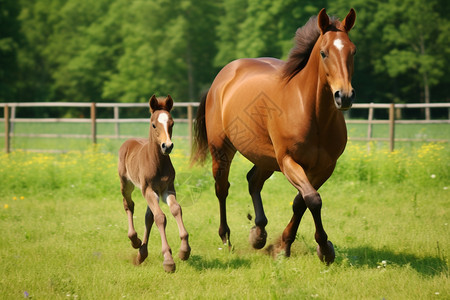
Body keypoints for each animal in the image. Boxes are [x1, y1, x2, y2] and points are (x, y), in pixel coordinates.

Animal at [118, 95, 190, 272]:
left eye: (172, 123)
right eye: (154, 124)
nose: (167, 146)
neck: (157, 162)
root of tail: (128, 141)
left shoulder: (167, 190)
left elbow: (176, 210)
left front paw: (184, 251)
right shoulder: (148, 190)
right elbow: (160, 217)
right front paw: (168, 260)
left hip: (154, 194)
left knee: (147, 217)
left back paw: (141, 253)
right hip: (127, 184)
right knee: (128, 204)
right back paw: (135, 240)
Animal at [192, 8, 356, 264]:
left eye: (352, 51)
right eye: (324, 53)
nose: (344, 96)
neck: (312, 114)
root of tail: (222, 77)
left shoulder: (325, 167)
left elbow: (302, 202)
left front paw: (285, 245)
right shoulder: (289, 161)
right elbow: (313, 200)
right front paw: (324, 248)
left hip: (265, 158)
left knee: (253, 181)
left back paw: (259, 233)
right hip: (222, 150)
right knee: (222, 188)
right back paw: (226, 238)